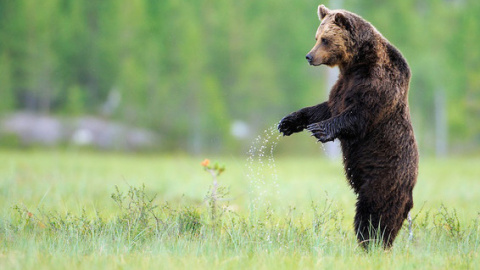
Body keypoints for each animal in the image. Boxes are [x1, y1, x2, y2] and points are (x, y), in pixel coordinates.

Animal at [280, 4, 418, 249]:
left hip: (385, 176)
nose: (309, 56)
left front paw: (320, 129)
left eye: (325, 39)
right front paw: (289, 122)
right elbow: (327, 107)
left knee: (375, 212)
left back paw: (372, 242)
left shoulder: (379, 82)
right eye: (316, 37)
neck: (356, 63)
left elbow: (358, 114)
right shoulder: (342, 85)